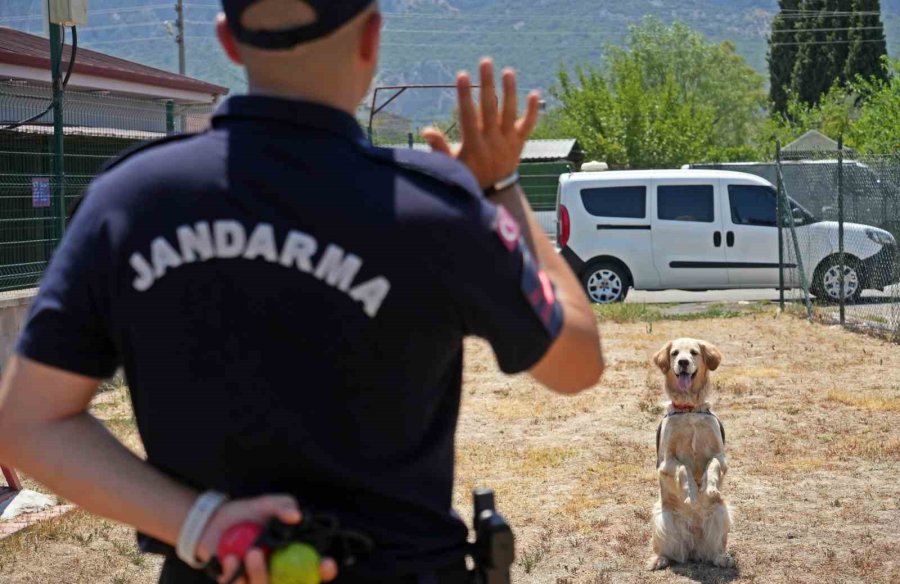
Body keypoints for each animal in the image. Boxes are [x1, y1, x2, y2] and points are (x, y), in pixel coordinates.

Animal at [648, 338, 740, 572]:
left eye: (693, 353)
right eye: (674, 353)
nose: (683, 362)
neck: (689, 410)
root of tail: (692, 547)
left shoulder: (721, 456)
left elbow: (712, 466)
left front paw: (710, 487)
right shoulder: (666, 461)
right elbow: (684, 469)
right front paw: (691, 493)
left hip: (722, 513)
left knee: (713, 550)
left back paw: (721, 557)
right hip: (661, 517)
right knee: (668, 551)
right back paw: (658, 559)